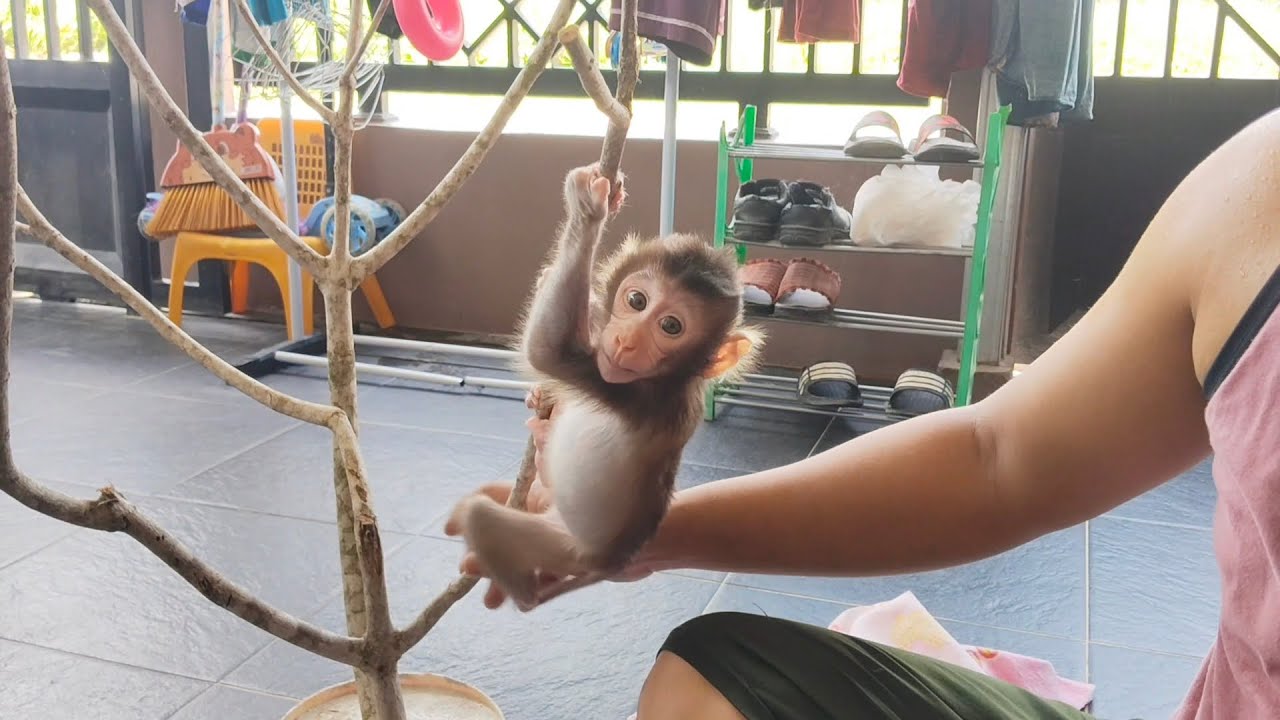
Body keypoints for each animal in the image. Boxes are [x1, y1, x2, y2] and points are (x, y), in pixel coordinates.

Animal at [445, 162, 761, 611]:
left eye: (670, 326)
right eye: (636, 301)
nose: (626, 340)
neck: (675, 378)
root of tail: (614, 560)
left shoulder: (642, 398)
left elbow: (547, 351)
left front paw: (587, 212)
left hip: (568, 546)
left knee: (485, 517)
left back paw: (524, 590)